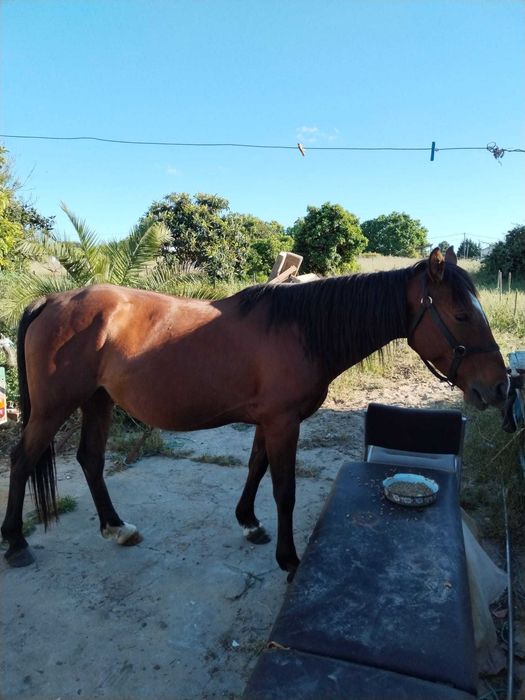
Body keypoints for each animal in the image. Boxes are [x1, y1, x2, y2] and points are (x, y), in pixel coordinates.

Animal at [1, 247, 508, 579]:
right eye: (462, 315)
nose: (499, 387)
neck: (302, 329)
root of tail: (49, 301)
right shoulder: (283, 423)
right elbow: (284, 490)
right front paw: (289, 558)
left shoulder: (269, 422)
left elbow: (255, 467)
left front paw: (248, 523)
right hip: (52, 409)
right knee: (23, 461)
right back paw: (16, 543)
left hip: (98, 401)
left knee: (90, 459)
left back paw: (116, 527)